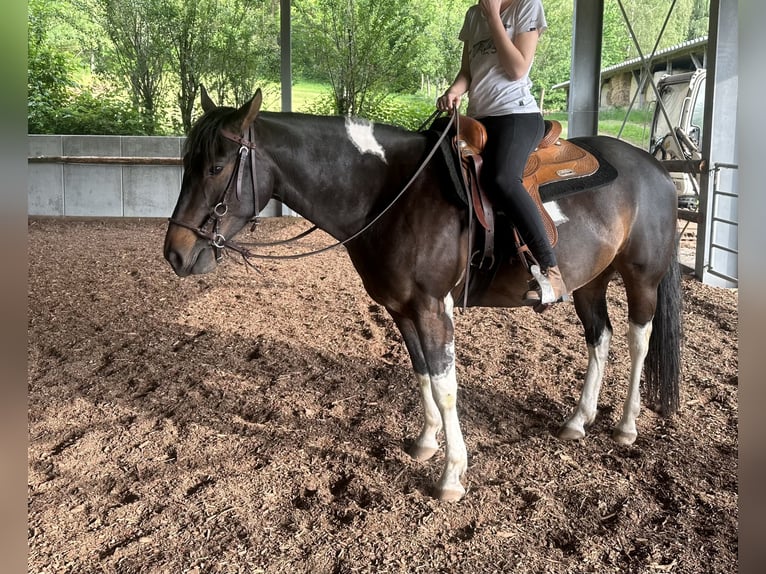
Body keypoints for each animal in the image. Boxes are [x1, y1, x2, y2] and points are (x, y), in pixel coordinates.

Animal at [164, 88, 682, 501]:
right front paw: (426, 442)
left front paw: (452, 475)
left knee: (638, 340)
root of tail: (656, 168)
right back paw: (579, 420)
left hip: (641, 277)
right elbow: (421, 374)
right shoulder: (401, 308)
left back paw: (626, 425)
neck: (389, 193)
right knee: (600, 338)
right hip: (590, 282)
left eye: (216, 166)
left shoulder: (434, 308)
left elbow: (446, 386)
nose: (176, 253)